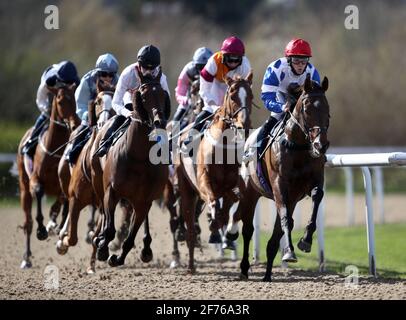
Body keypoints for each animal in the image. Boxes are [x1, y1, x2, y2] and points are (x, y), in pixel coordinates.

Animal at [16, 84, 79, 268]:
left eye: (74, 98)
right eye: (60, 100)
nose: (75, 124)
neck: (55, 149)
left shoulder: (64, 183)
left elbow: (63, 199)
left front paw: (54, 223)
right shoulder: (35, 179)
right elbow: (38, 191)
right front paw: (42, 230)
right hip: (23, 188)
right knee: (28, 223)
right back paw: (26, 258)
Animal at [91, 71, 169, 266]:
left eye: (163, 94)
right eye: (144, 95)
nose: (160, 121)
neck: (139, 156)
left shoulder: (144, 201)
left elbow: (130, 237)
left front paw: (117, 258)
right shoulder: (111, 191)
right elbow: (109, 228)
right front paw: (102, 247)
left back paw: (146, 248)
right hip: (98, 182)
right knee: (103, 212)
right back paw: (99, 238)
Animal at [178, 72, 254, 272]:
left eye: (251, 96)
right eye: (233, 95)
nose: (244, 124)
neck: (223, 148)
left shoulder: (231, 186)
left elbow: (230, 205)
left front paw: (227, 233)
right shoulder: (204, 182)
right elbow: (213, 202)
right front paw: (214, 223)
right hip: (186, 189)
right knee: (190, 228)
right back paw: (190, 266)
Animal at [228, 74, 330, 282]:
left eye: (327, 109)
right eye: (307, 109)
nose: (320, 145)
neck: (298, 147)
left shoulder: (309, 184)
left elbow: (316, 197)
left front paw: (306, 240)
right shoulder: (279, 185)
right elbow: (285, 220)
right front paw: (289, 252)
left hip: (289, 199)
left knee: (274, 237)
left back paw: (267, 274)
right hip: (250, 193)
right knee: (248, 229)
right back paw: (244, 268)